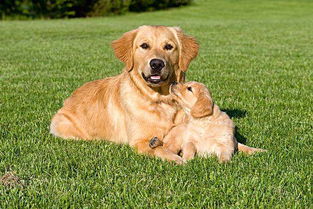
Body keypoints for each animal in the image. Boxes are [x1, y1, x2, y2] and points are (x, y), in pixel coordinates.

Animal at [50, 25, 199, 163]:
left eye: (168, 47)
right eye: (144, 46)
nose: (156, 63)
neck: (161, 100)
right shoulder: (139, 141)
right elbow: (159, 149)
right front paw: (177, 159)